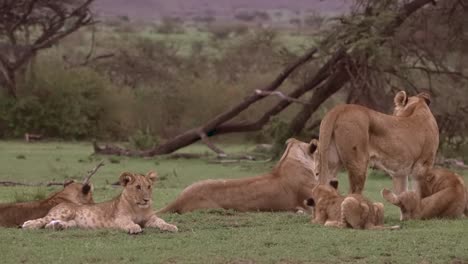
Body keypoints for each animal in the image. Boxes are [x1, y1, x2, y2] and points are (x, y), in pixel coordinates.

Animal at [21, 172, 177, 234]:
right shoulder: (119, 219)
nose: (146, 199)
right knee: (42, 220)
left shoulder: (151, 219)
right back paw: (28, 224)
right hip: (65, 212)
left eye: (149, 187)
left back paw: (58, 226)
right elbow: (129, 223)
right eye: (138, 187)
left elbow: (161, 221)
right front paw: (134, 228)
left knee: (50, 224)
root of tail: (59, 204)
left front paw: (171, 226)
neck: (139, 208)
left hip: (73, 222)